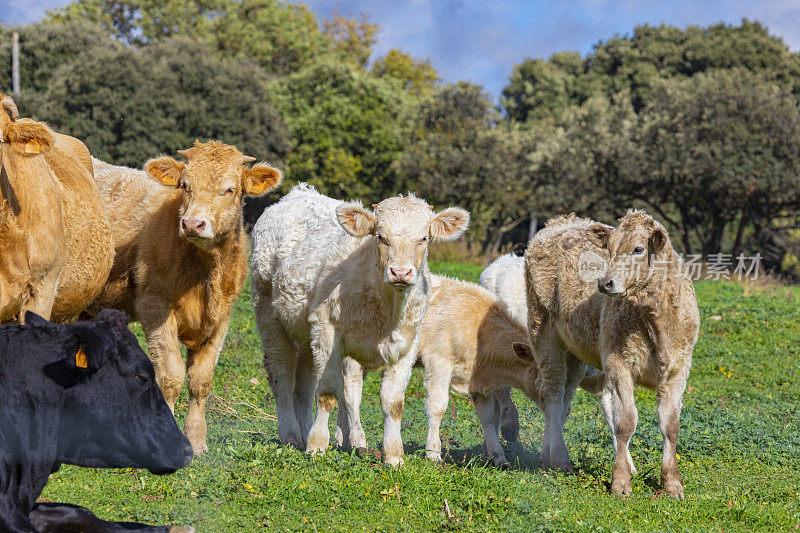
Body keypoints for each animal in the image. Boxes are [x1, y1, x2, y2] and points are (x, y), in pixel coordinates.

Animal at [87, 140, 280, 454]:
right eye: (185, 185)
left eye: (229, 189)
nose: (193, 224)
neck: (205, 273)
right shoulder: (155, 306)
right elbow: (171, 377)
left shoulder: (222, 317)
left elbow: (200, 380)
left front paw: (198, 440)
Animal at [520, 212, 696, 498]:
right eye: (609, 249)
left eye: (638, 249)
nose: (604, 282)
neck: (656, 322)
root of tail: (561, 221)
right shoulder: (618, 363)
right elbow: (625, 422)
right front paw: (621, 481)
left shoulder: (679, 370)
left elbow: (670, 426)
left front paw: (672, 483)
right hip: (543, 334)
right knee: (552, 396)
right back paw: (557, 459)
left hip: (575, 353)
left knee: (564, 402)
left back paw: (554, 454)